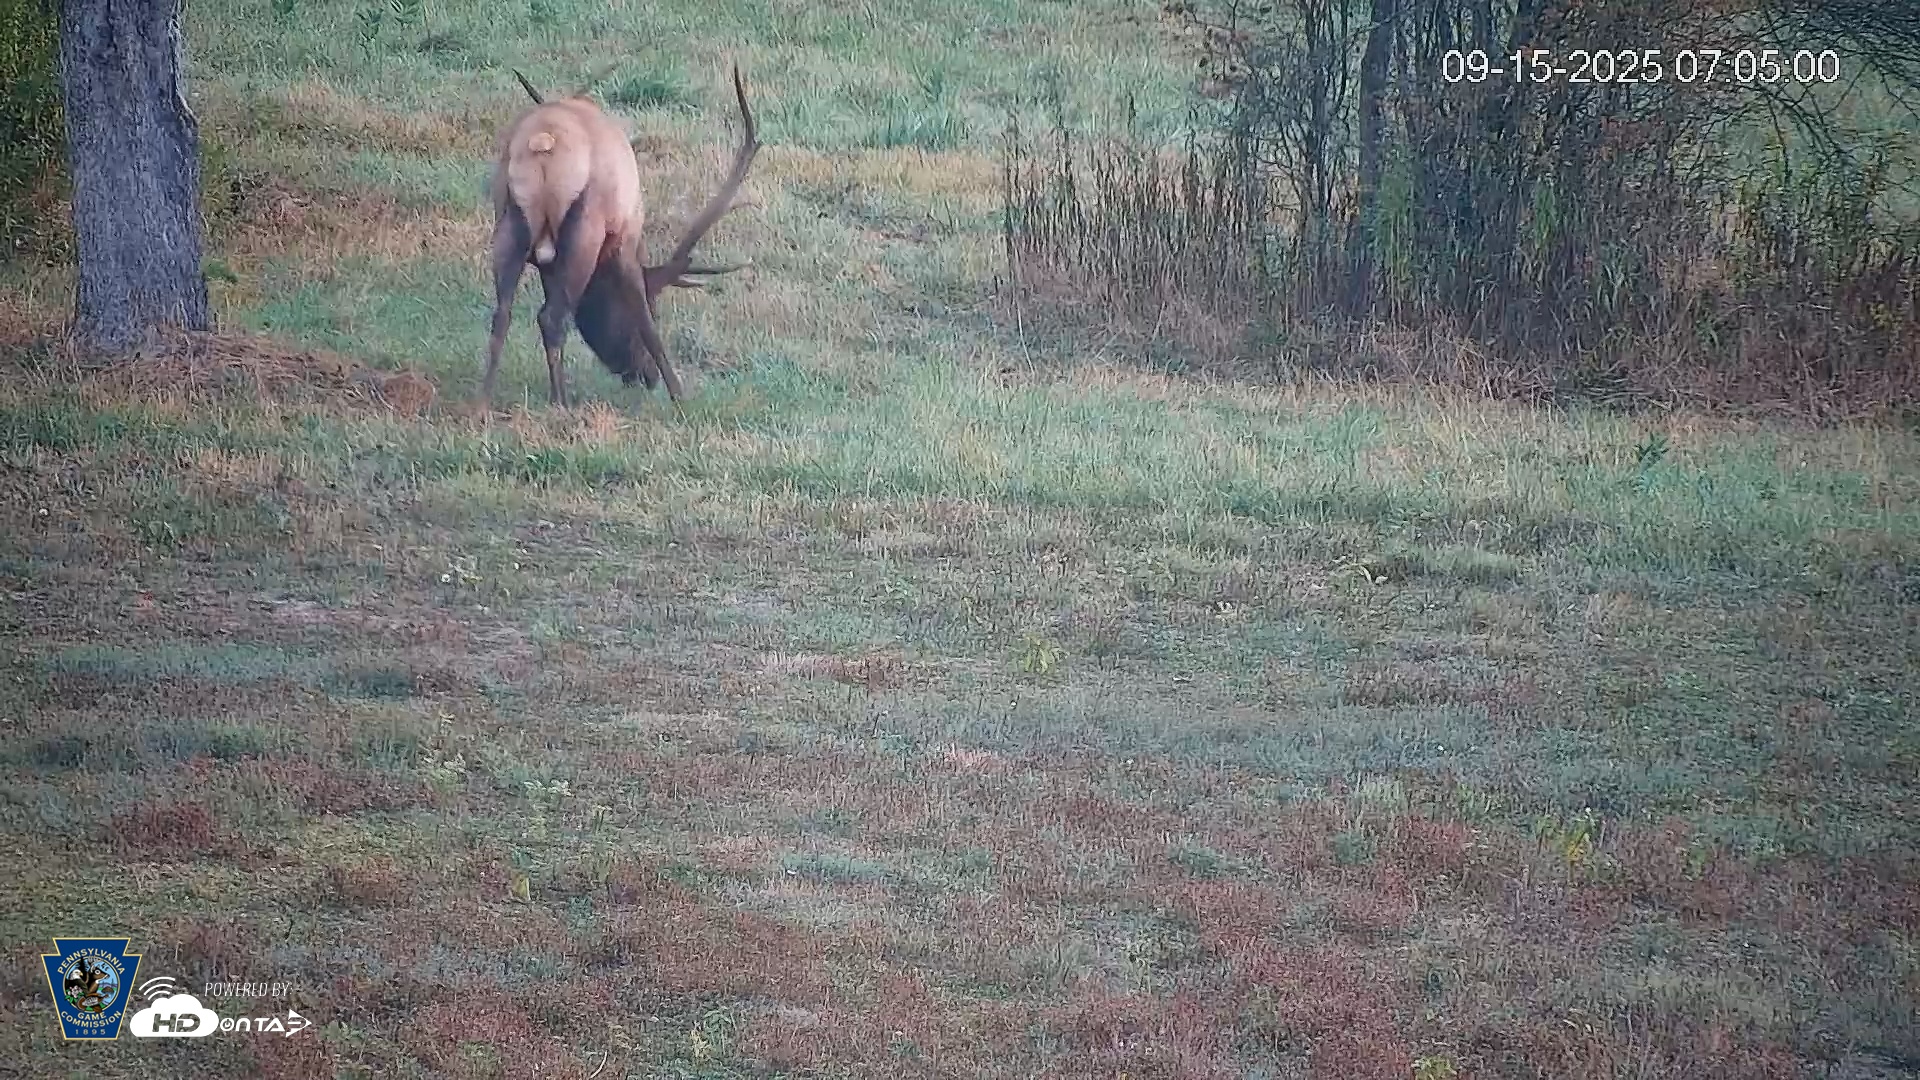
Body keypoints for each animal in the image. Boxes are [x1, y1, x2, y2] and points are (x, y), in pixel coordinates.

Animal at [480, 63, 761, 408]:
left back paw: (482, 403)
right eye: (656, 308)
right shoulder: (624, 239)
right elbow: (645, 321)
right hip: (586, 228)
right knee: (551, 318)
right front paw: (679, 396)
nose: (647, 376)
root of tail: (544, 143)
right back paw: (561, 403)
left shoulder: (548, 264)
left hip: (510, 220)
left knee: (502, 314)